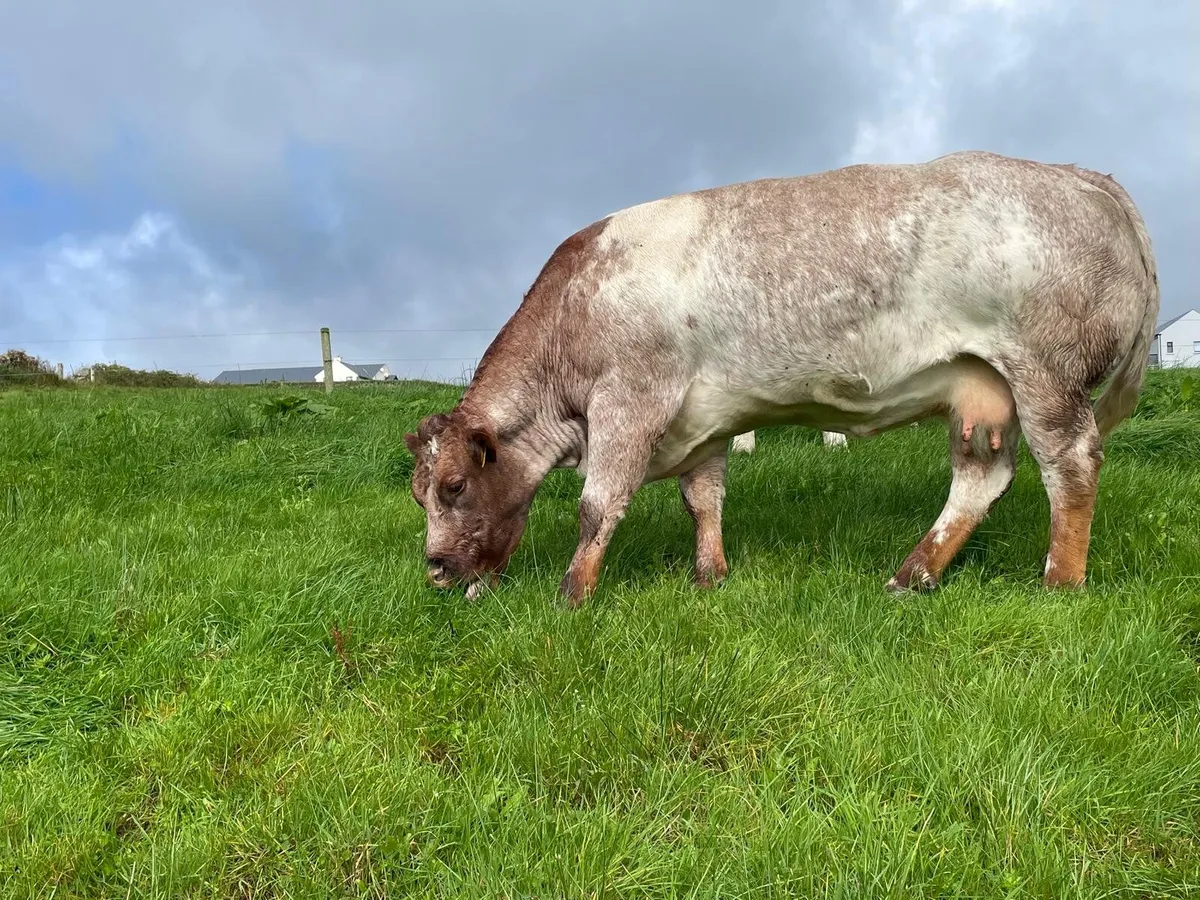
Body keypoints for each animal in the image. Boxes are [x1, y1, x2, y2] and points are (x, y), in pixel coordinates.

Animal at [403, 151, 1159, 606]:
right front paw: (709, 577)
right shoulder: (701, 418)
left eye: (454, 485)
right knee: (981, 480)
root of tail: (1081, 175)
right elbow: (703, 499)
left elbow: (599, 504)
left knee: (1070, 465)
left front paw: (572, 594)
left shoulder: (630, 399)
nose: (435, 567)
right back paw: (912, 575)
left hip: (1045, 373)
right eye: (419, 494)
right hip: (981, 389)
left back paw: (1061, 582)